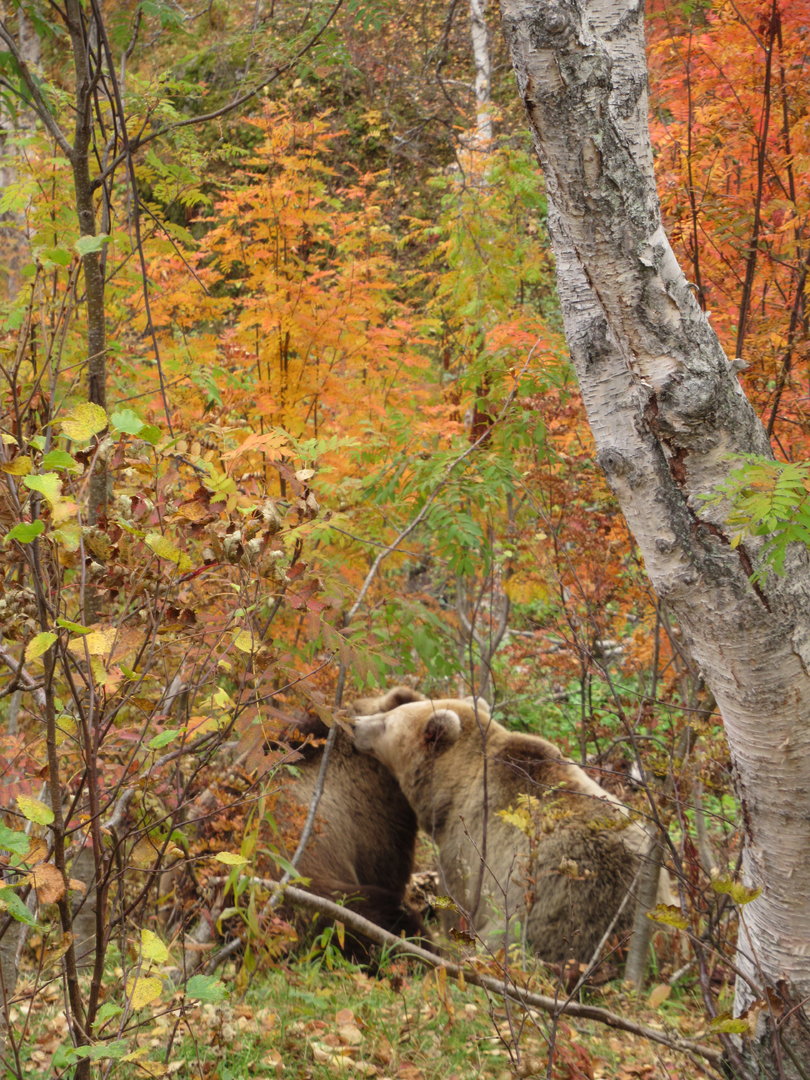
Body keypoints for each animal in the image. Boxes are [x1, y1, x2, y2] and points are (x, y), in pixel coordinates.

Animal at [352, 696, 662, 964]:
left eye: (387, 721)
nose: (355, 722)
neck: (450, 789)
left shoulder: (466, 845)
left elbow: (457, 902)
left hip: (549, 917)